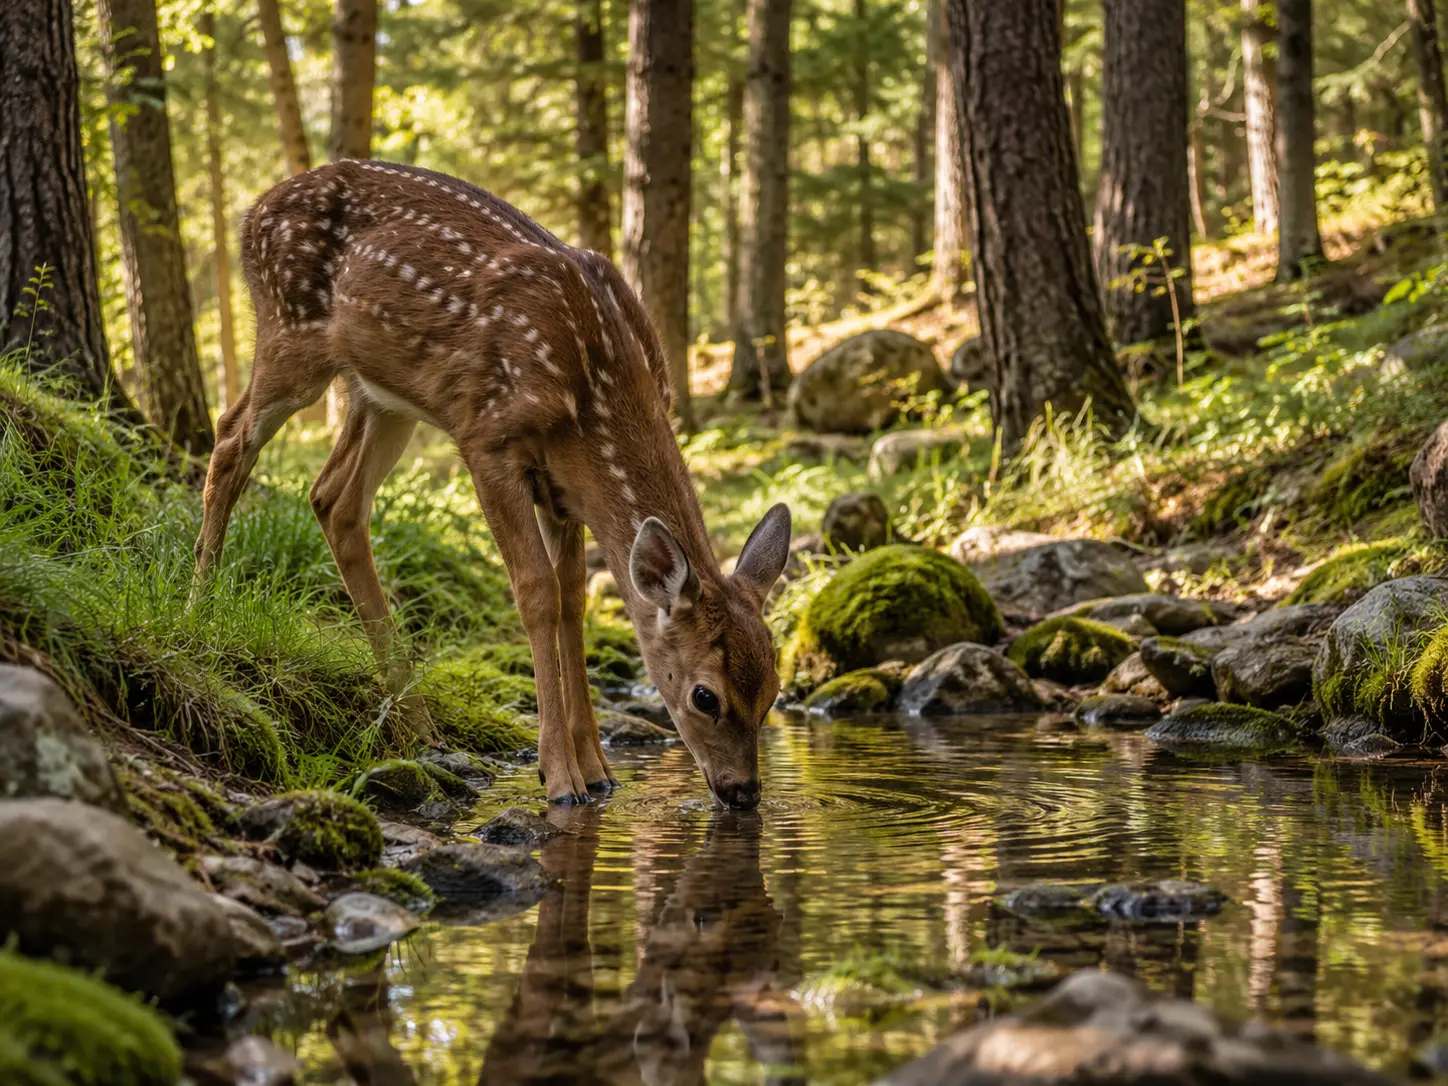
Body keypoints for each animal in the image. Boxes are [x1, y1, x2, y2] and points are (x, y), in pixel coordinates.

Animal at [192, 160, 791, 809]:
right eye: (705, 696)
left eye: (773, 690)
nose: (743, 792)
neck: (596, 393)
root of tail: (253, 211)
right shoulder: (489, 440)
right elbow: (536, 592)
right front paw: (559, 778)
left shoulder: (564, 491)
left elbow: (574, 598)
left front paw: (599, 770)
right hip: (292, 333)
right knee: (230, 437)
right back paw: (199, 614)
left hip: (385, 397)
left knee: (333, 498)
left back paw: (419, 723)